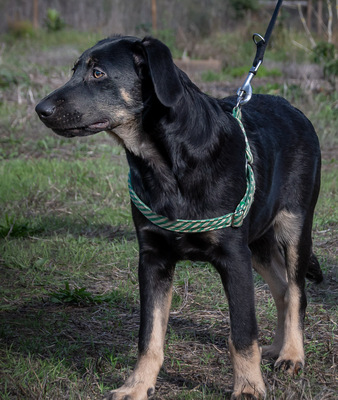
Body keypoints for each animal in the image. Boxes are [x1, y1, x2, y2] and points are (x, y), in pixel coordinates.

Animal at [35, 36, 324, 398]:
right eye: (74, 70)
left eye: (98, 73)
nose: (40, 109)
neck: (164, 164)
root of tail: (296, 111)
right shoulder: (153, 259)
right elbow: (149, 336)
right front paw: (137, 385)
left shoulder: (234, 257)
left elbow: (243, 333)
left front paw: (248, 387)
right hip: (257, 241)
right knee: (283, 289)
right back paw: (276, 347)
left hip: (294, 228)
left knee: (297, 291)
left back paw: (292, 354)